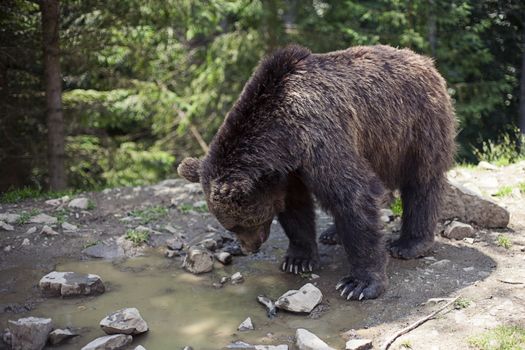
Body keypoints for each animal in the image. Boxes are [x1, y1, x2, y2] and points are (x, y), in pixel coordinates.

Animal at [177, 44, 454, 300]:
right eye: (230, 225)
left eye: (240, 223)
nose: (250, 248)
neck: (283, 137)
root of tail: (423, 59)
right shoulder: (288, 171)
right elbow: (295, 208)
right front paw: (298, 260)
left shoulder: (321, 138)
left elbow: (354, 194)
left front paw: (359, 284)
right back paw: (333, 233)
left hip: (414, 126)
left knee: (422, 181)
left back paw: (410, 244)